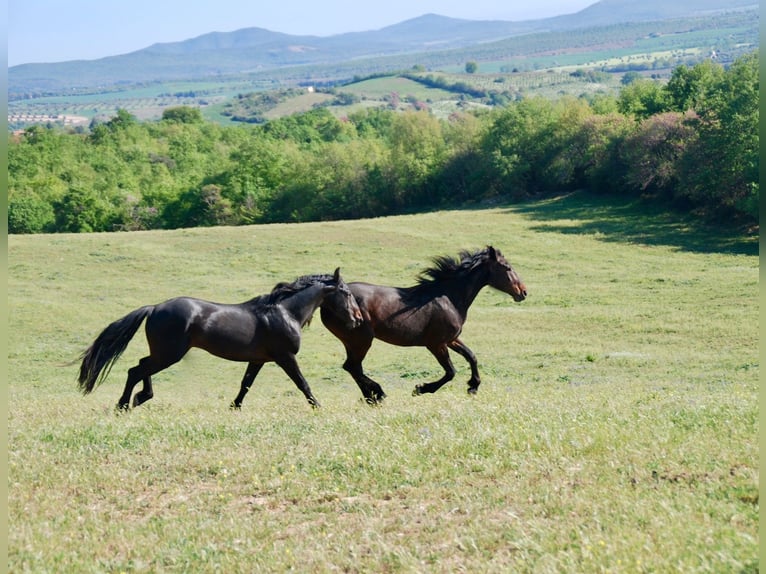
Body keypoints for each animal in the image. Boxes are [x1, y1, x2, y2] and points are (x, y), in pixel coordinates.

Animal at [78, 268, 364, 410]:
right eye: (346, 292)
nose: (358, 319)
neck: (284, 312)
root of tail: (155, 307)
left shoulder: (259, 360)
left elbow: (245, 384)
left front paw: (234, 406)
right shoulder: (285, 357)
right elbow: (302, 383)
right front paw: (318, 406)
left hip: (163, 353)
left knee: (140, 366)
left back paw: (140, 398)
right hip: (169, 354)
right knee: (136, 370)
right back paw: (124, 404)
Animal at [320, 249, 528, 404]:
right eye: (507, 267)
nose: (523, 292)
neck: (449, 297)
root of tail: (326, 301)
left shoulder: (451, 339)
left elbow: (471, 356)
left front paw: (473, 386)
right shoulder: (436, 344)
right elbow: (450, 371)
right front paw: (421, 389)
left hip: (352, 342)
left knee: (353, 368)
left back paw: (371, 397)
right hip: (361, 340)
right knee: (353, 367)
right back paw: (378, 394)